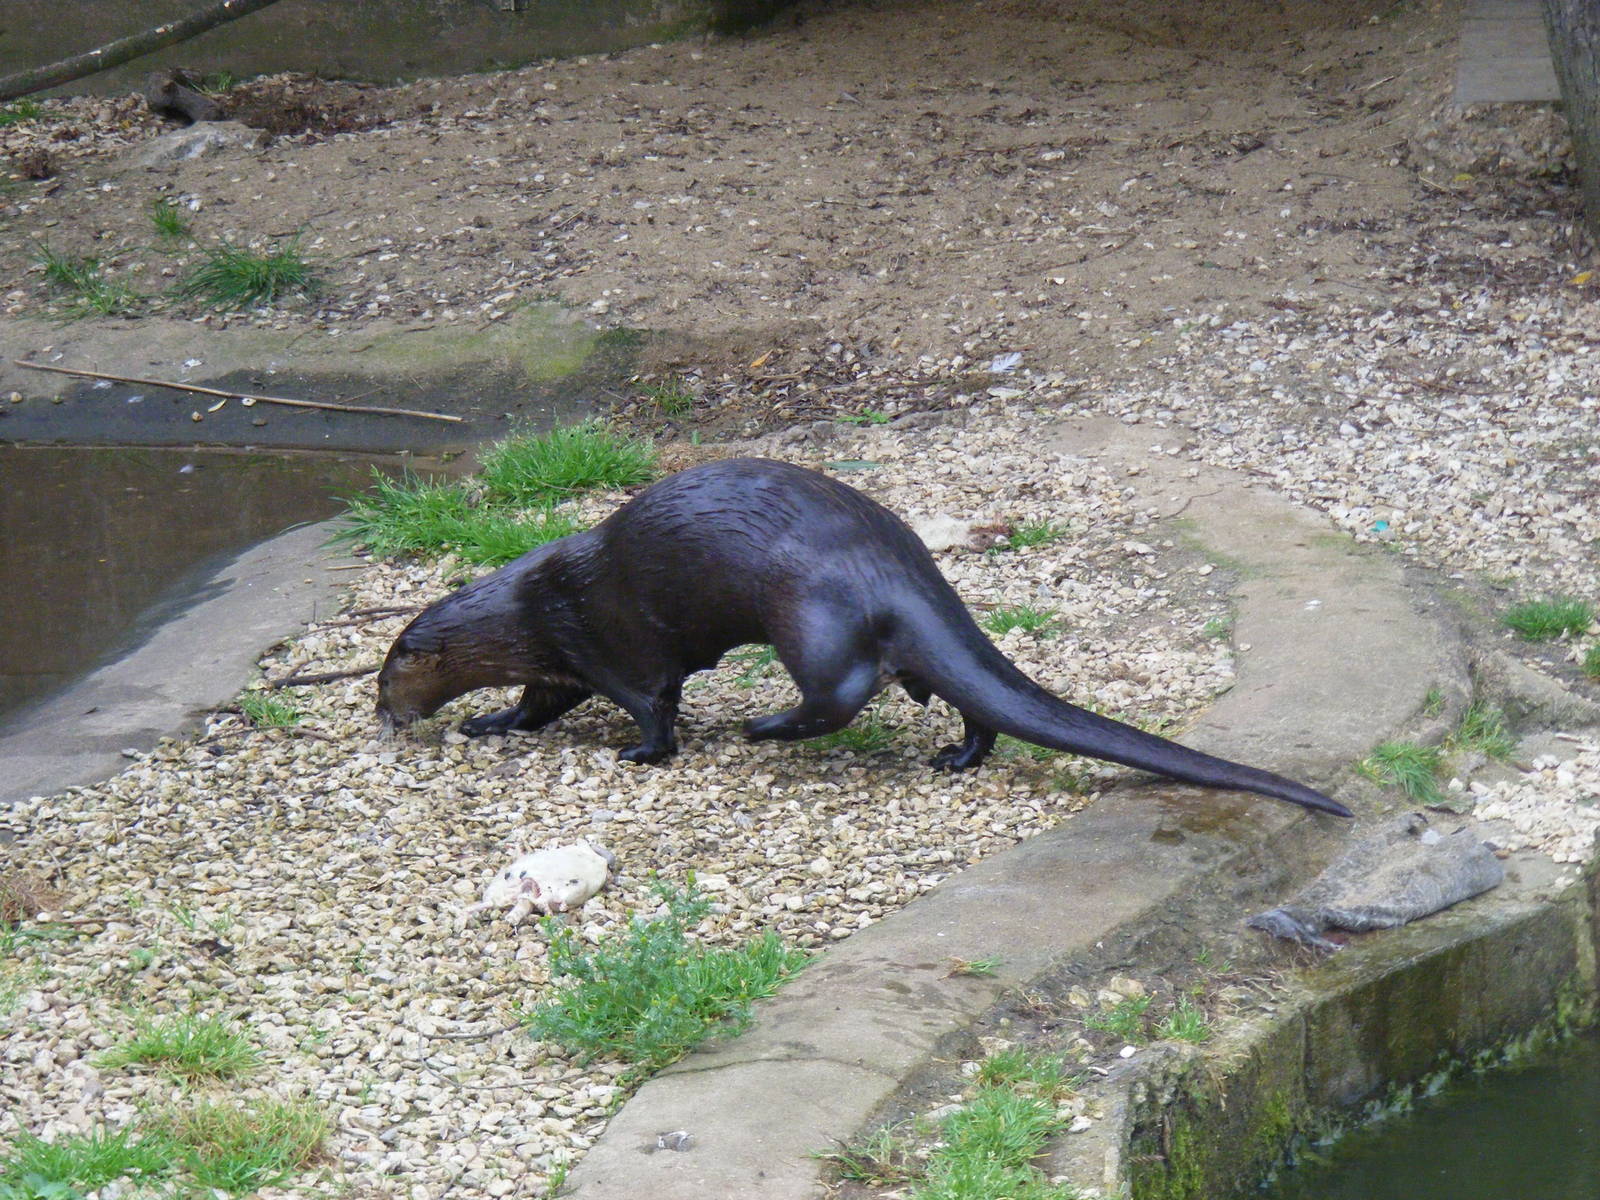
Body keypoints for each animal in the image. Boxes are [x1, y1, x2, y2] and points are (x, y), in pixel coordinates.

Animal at [377, 458, 1350, 818]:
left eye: (386, 678)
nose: (382, 716)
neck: (527, 608)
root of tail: (896, 560)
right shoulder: (558, 661)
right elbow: (533, 707)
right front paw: (486, 723)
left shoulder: (601, 642)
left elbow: (650, 706)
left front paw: (640, 753)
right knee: (963, 699)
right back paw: (956, 757)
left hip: (806, 611)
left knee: (840, 691)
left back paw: (764, 728)